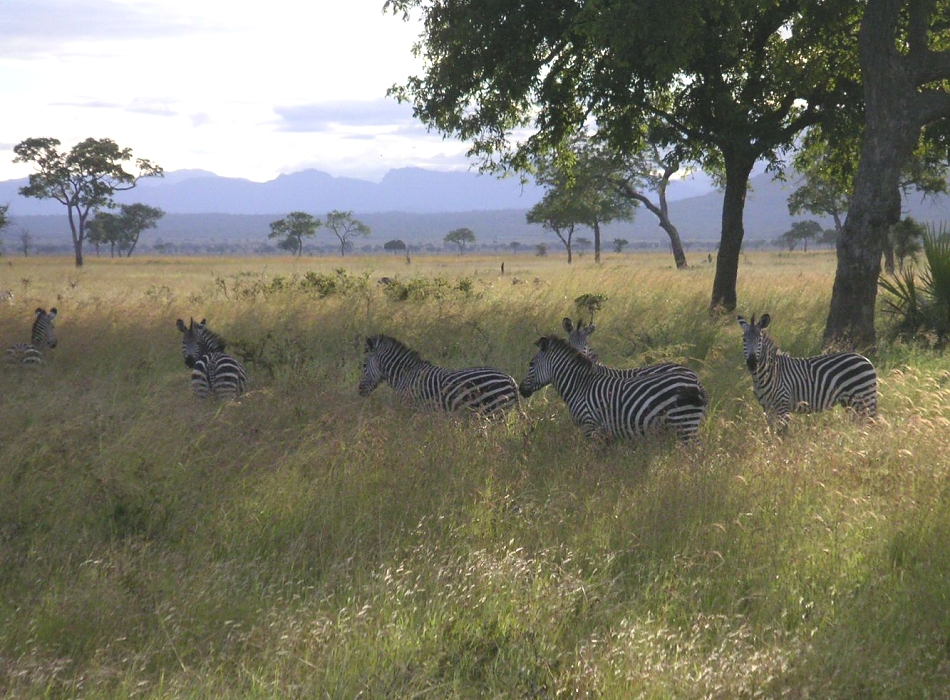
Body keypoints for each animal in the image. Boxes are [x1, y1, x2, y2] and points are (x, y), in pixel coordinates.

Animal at [358, 334, 520, 416]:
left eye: (364, 366)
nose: (360, 391)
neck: (404, 375)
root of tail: (509, 378)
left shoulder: (411, 409)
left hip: (491, 411)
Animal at [516, 334, 712, 442]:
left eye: (531, 364)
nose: (521, 389)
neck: (579, 386)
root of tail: (695, 380)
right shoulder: (605, 433)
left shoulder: (590, 427)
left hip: (684, 423)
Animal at [740, 314, 880, 430]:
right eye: (744, 340)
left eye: (759, 340)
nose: (752, 363)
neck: (768, 373)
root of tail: (866, 359)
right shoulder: (767, 408)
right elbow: (772, 432)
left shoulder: (783, 405)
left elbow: (782, 433)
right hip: (851, 402)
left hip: (863, 397)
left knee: (871, 423)